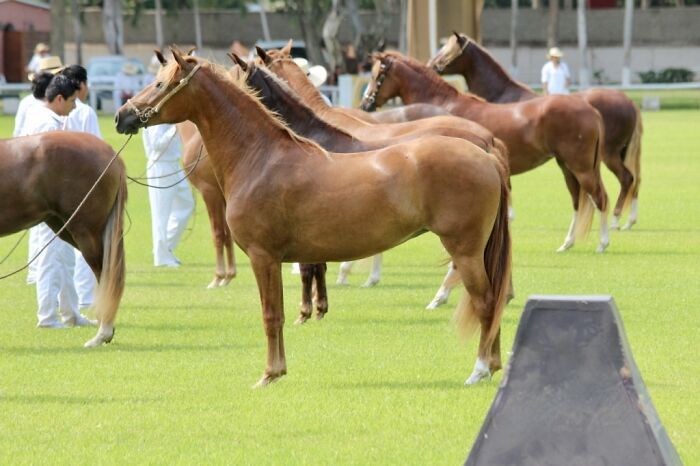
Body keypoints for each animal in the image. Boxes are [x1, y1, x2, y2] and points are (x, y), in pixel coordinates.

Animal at [115, 50, 508, 386]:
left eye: (160, 84)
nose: (122, 116)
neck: (261, 158)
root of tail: (486, 154)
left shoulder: (263, 257)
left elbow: (272, 315)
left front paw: (270, 374)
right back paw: (492, 365)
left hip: (465, 251)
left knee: (486, 301)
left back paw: (479, 370)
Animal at [364, 51, 608, 253]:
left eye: (378, 76)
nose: (366, 103)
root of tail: (591, 109)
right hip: (567, 166)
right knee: (578, 200)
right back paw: (567, 243)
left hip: (581, 167)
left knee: (599, 197)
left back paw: (602, 244)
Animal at [426, 32, 640, 229]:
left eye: (448, 49)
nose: (432, 65)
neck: (502, 94)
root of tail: (629, 102)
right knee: (634, 180)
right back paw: (628, 220)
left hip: (607, 154)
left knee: (626, 179)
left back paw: (615, 220)